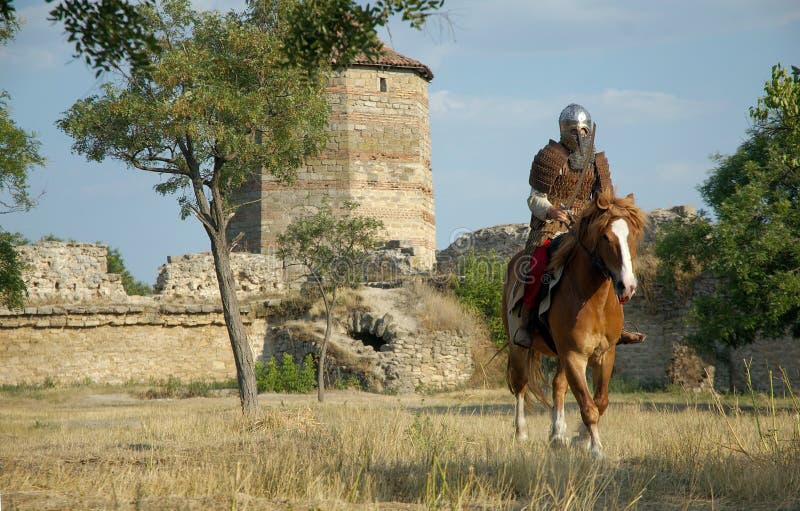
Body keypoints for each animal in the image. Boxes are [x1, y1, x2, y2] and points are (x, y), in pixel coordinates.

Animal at [506, 190, 648, 458]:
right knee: (521, 385)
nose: (627, 286)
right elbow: (587, 406)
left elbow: (600, 402)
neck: (595, 301)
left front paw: (580, 437)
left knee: (558, 386)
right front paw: (596, 449)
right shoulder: (574, 356)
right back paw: (521, 433)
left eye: (632, 235)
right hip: (519, 347)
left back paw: (557, 434)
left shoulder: (605, 354)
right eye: (605, 236)